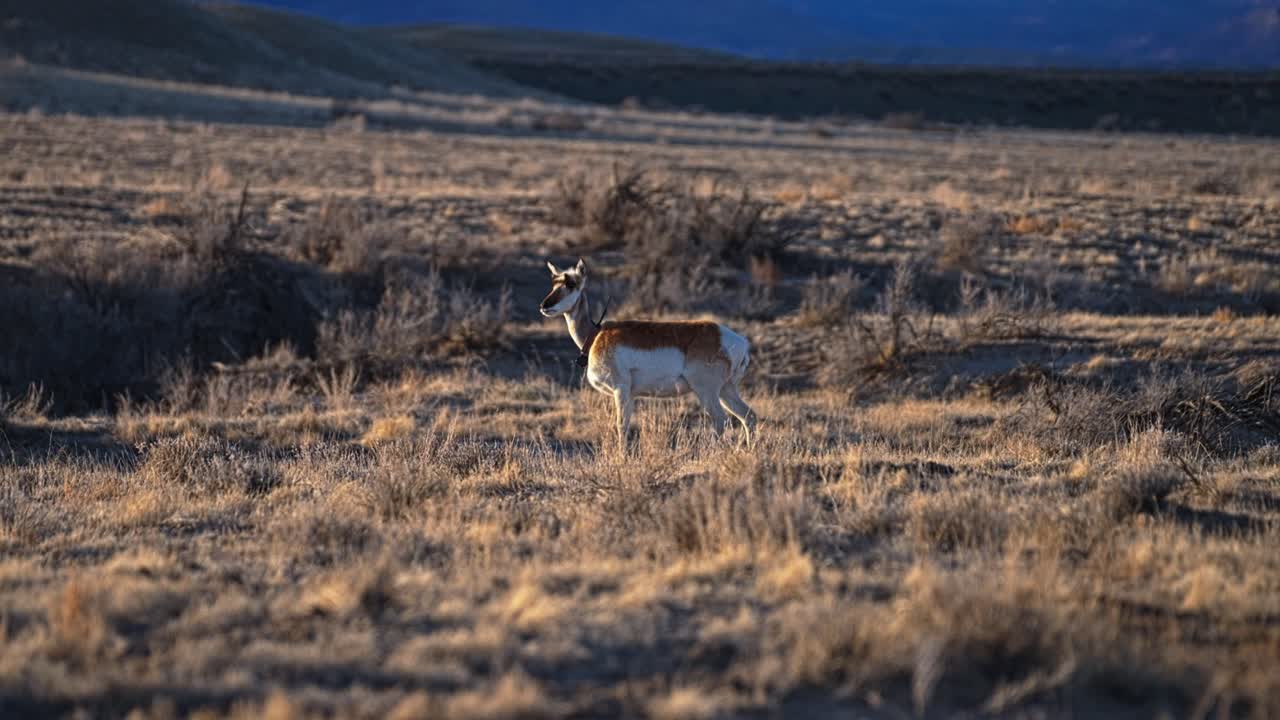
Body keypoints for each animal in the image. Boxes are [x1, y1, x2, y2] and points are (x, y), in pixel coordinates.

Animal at [540, 259, 756, 449]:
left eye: (571, 283)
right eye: (553, 282)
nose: (544, 306)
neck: (595, 335)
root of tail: (737, 340)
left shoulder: (620, 390)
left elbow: (621, 427)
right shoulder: (630, 395)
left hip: (707, 391)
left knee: (720, 420)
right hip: (726, 390)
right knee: (748, 416)